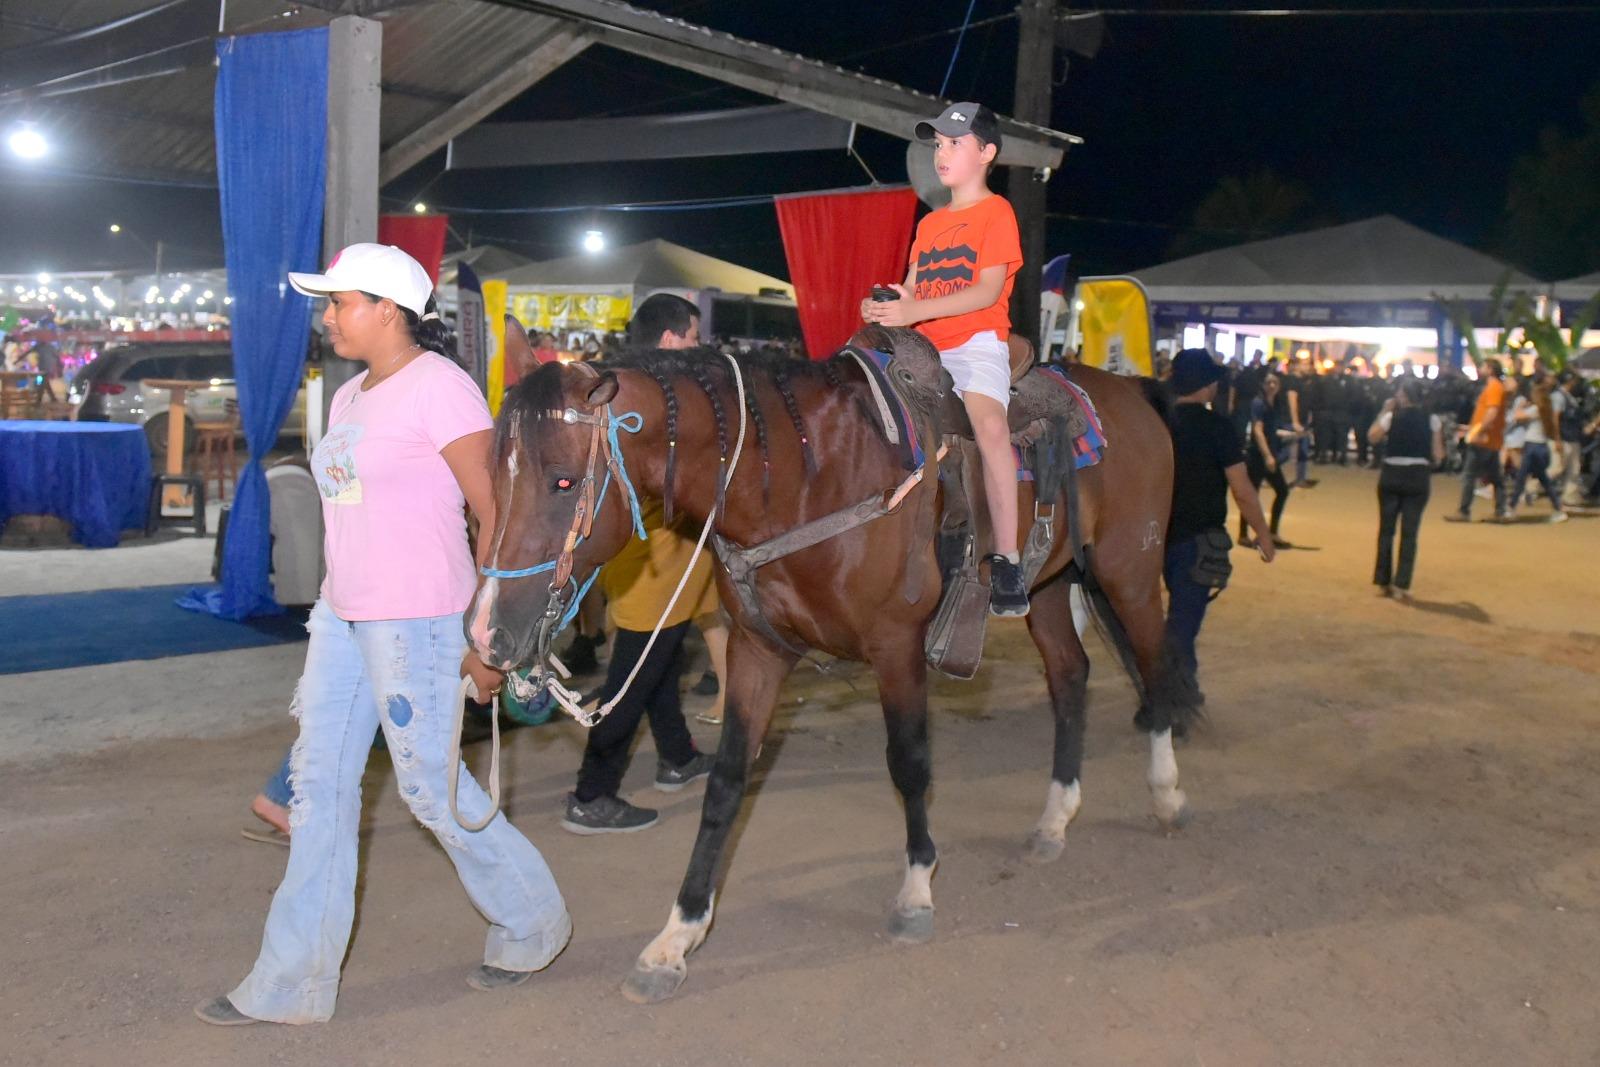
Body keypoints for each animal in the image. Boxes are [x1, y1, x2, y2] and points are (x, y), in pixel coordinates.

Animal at [464, 331, 1190, 1004]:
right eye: (493, 479)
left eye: (563, 480)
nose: (487, 632)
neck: (803, 480)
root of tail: (1131, 391)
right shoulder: (757, 650)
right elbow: (726, 784)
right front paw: (677, 936)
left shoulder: (897, 647)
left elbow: (909, 763)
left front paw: (916, 891)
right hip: (1048, 585)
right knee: (1070, 677)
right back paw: (1055, 818)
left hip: (1128, 571)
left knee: (1156, 669)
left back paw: (1166, 792)